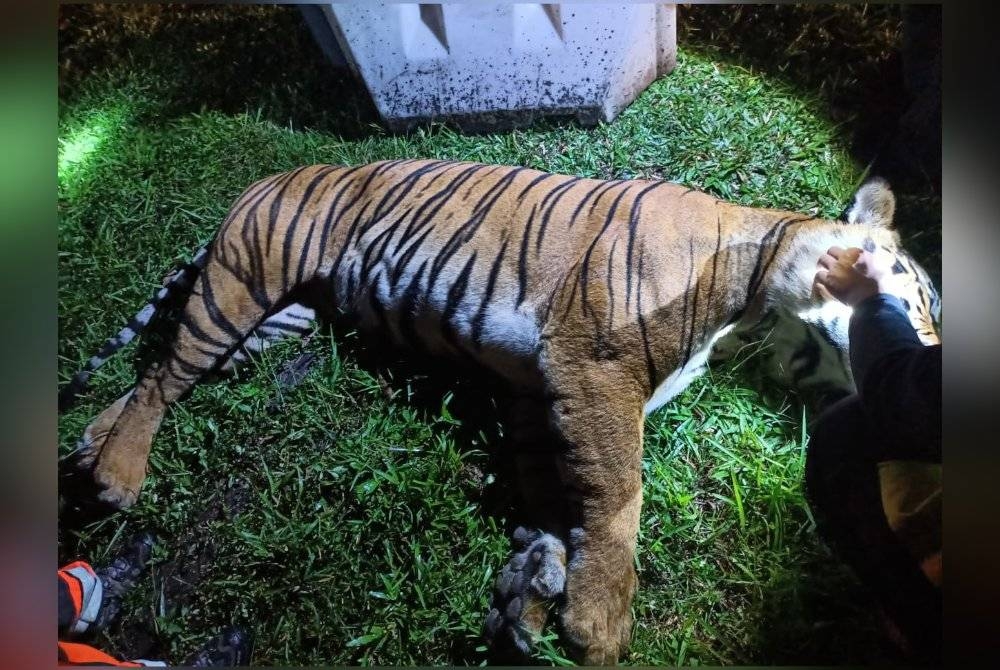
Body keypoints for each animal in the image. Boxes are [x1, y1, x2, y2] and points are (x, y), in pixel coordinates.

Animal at [58, 159, 940, 668]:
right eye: (926, 299)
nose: (935, 356)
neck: (756, 296)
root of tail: (263, 183)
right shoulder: (594, 367)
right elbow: (618, 495)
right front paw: (599, 623)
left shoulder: (536, 392)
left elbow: (554, 494)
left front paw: (531, 594)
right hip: (246, 277)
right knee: (167, 374)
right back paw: (119, 477)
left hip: (272, 324)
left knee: (157, 375)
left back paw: (93, 449)